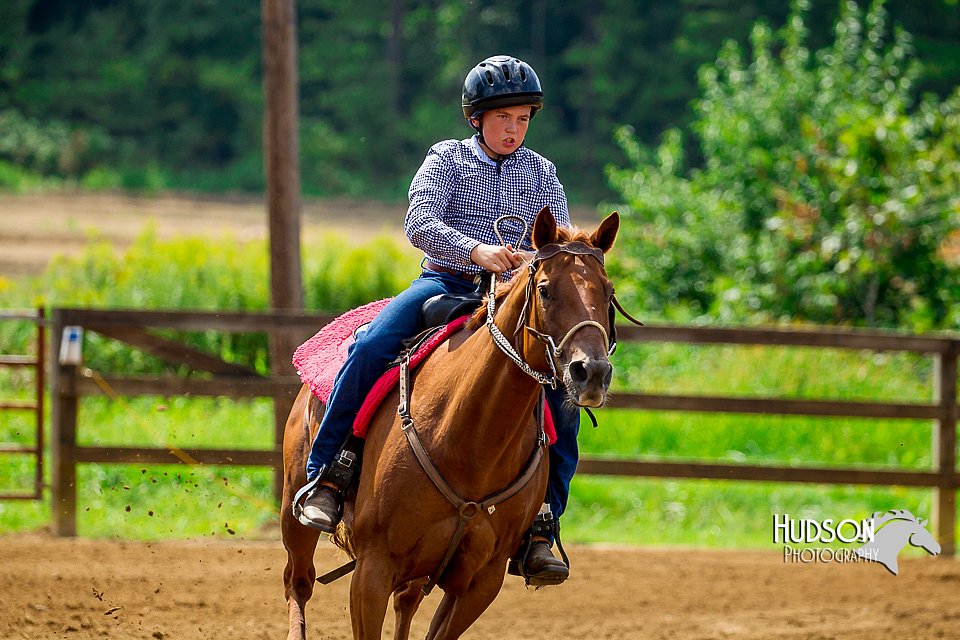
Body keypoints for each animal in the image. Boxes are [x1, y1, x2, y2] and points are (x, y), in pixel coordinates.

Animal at [278, 208, 624, 636]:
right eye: (545, 289)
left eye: (608, 293)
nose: (591, 372)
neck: (471, 442)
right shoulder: (373, 570)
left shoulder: (480, 581)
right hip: (295, 512)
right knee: (298, 582)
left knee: (406, 602)